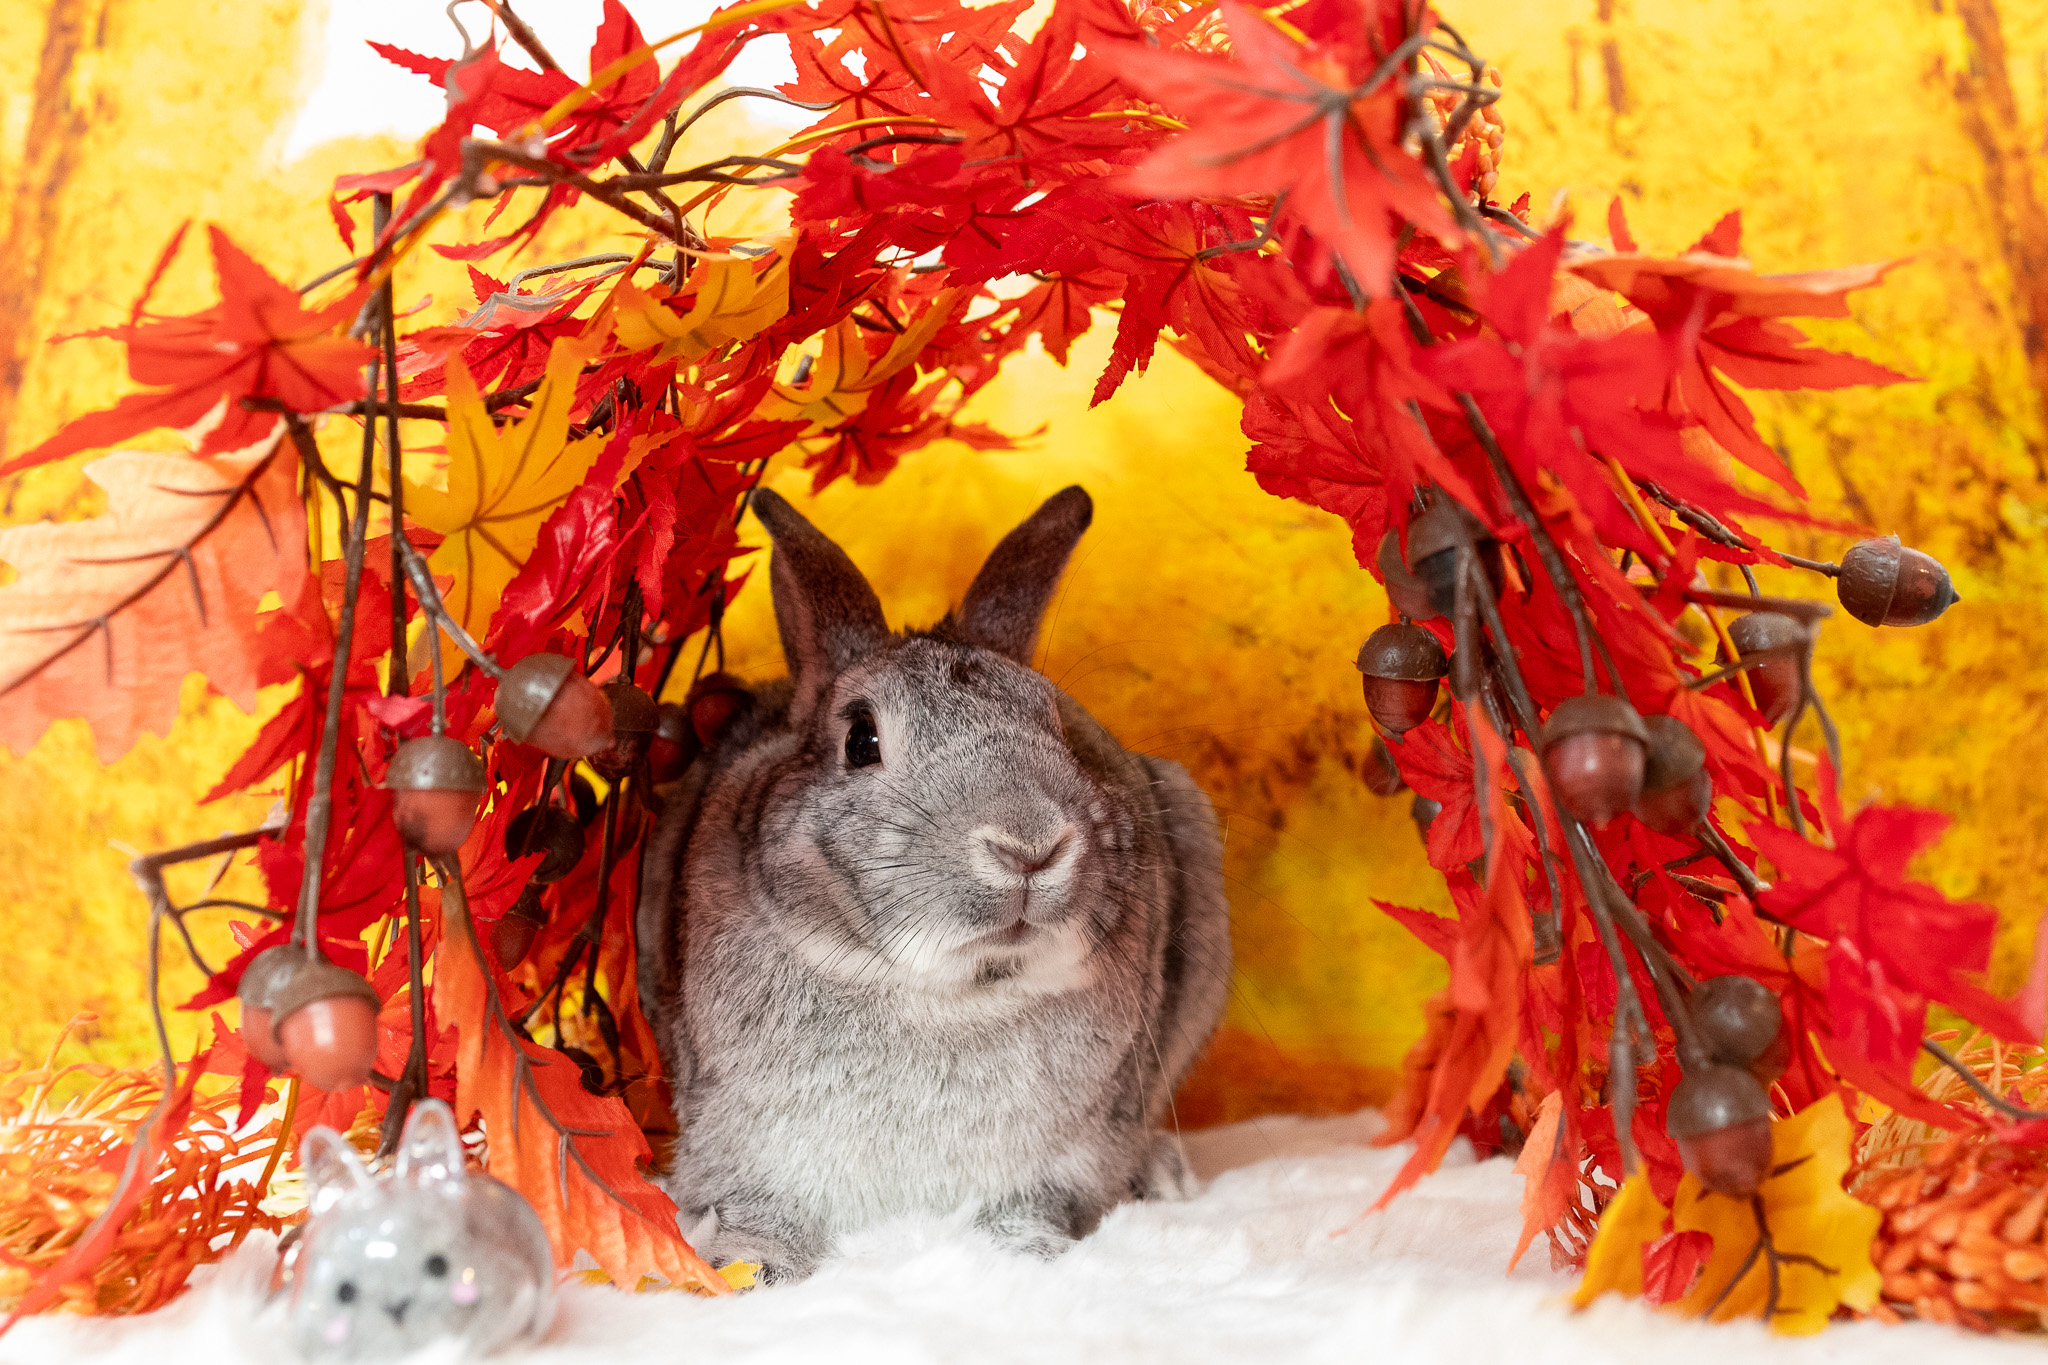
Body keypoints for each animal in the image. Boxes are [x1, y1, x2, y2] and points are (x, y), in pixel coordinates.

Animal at [635, 484, 1232, 1283]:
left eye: (1059, 726)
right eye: (861, 739)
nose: (1029, 846)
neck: (948, 991)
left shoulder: (1062, 1161)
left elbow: (1028, 1212)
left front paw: (1029, 1258)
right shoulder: (746, 1144)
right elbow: (759, 1211)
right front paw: (751, 1269)